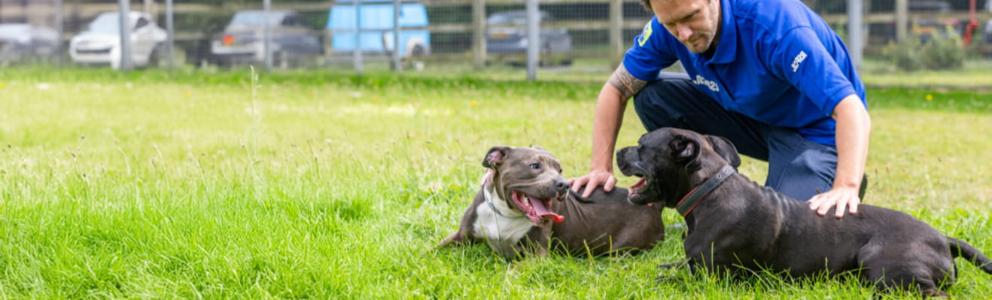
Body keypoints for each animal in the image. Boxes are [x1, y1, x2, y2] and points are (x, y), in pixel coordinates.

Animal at [616, 126, 988, 296]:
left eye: (642, 145)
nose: (619, 151)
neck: (707, 190)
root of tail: (943, 238)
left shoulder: (712, 279)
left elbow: (671, 278)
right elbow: (674, 265)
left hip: (884, 265)